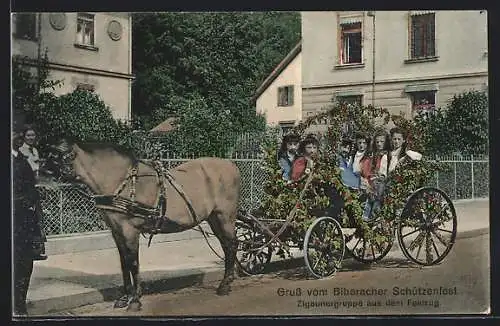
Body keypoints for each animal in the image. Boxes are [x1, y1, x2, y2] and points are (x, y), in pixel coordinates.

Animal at [48, 139, 242, 310]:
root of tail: (232, 166)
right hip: (213, 218)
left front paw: (135, 300)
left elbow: (133, 262)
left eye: (55, 157)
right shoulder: (116, 231)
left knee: (232, 244)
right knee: (226, 245)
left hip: (225, 216)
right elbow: (124, 262)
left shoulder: (129, 230)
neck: (121, 180)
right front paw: (125, 297)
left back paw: (225, 285)